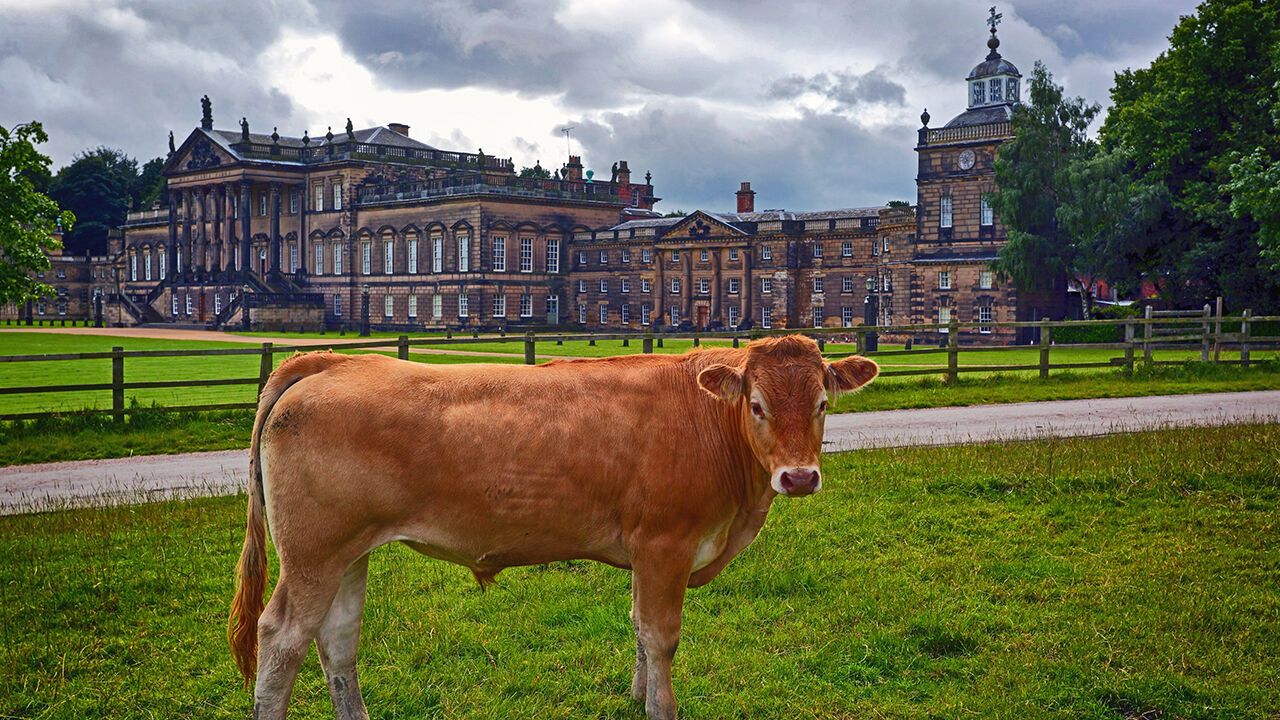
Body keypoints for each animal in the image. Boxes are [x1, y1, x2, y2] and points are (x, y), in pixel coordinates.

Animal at [229, 335, 878, 719]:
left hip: (349, 552)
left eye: (822, 403)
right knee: (281, 639)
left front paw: (637, 694)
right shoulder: (665, 544)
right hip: (312, 553)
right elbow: (661, 635)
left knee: (338, 640)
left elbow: (638, 627)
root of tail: (334, 361)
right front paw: (660, 706)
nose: (799, 477)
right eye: (757, 405)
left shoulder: (645, 552)